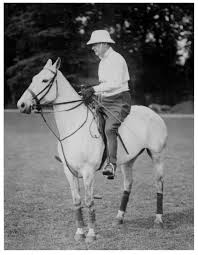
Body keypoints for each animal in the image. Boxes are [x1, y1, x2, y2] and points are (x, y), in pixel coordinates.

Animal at [17, 58, 168, 243]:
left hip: (157, 154)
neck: (73, 125)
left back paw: (158, 220)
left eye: (45, 80)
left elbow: (89, 201)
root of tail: (154, 113)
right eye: (33, 78)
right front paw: (79, 233)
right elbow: (76, 201)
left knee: (159, 183)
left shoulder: (87, 171)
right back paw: (119, 218)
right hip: (128, 160)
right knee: (128, 184)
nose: (21, 104)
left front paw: (90, 234)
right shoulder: (68, 171)